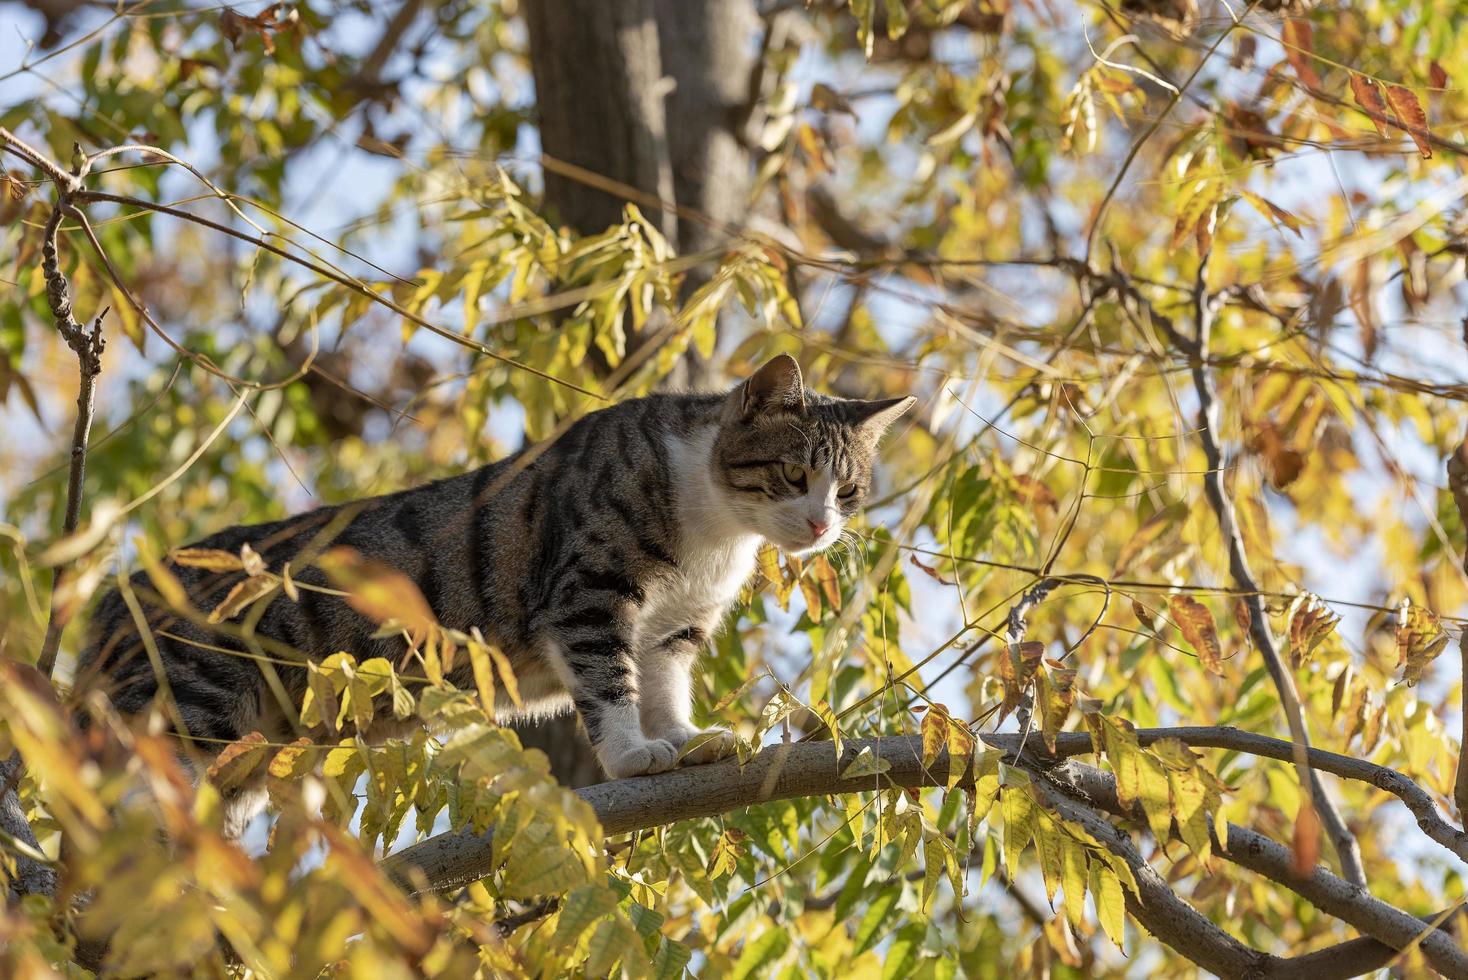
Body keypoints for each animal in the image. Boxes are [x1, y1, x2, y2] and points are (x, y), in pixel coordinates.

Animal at [77, 353, 904, 833]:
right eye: (793, 474)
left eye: (850, 491)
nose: (821, 523)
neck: (716, 535)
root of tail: (112, 597)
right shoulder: (589, 590)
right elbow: (609, 683)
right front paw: (632, 755)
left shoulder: (674, 628)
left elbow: (663, 684)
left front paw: (688, 737)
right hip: (192, 704)